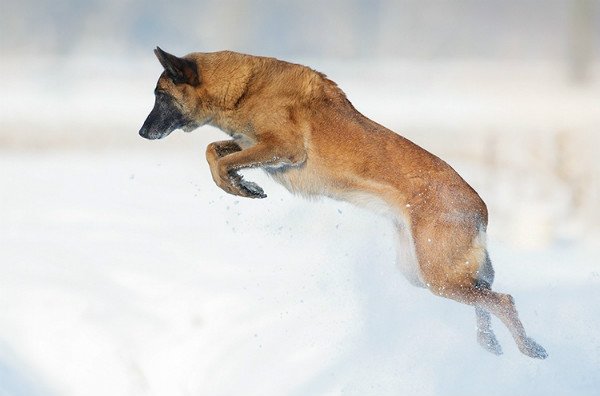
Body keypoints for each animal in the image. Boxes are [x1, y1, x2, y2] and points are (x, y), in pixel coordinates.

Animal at [138, 47, 548, 358]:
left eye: (160, 96)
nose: (142, 132)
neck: (245, 89)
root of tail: (480, 207)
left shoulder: (282, 148)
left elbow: (219, 159)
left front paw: (238, 186)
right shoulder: (253, 146)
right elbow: (214, 151)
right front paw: (242, 185)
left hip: (437, 275)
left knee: (503, 299)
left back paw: (527, 347)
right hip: (420, 271)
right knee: (485, 297)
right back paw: (490, 342)